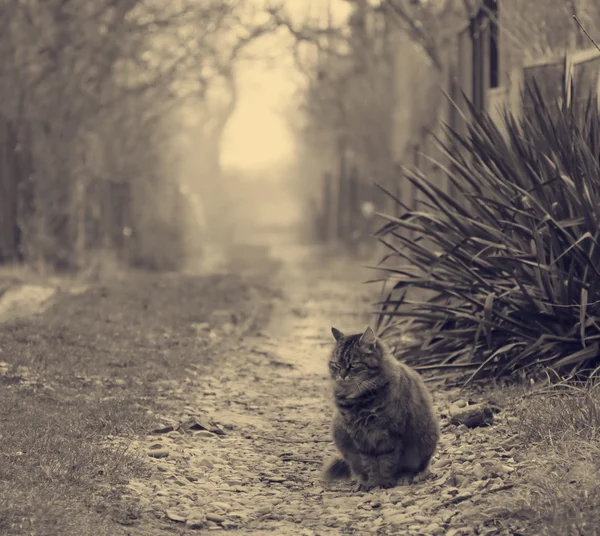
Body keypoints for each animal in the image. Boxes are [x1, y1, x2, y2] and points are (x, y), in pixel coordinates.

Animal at [322, 324, 438, 492]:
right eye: (336, 365)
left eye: (353, 365)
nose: (342, 375)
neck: (360, 400)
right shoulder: (359, 436)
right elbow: (369, 464)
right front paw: (371, 483)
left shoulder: (390, 432)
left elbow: (387, 463)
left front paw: (386, 482)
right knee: (357, 469)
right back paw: (361, 482)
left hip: (423, 442)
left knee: (416, 468)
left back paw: (405, 477)